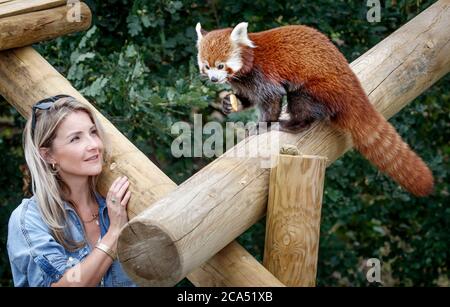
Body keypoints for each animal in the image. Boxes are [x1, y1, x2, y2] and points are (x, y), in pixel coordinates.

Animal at [195, 21, 434, 196]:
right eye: (207, 66)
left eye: (221, 65)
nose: (214, 79)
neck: (249, 62)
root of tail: (351, 86)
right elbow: (246, 98)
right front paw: (229, 103)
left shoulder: (264, 76)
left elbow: (271, 99)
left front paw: (263, 125)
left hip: (313, 89)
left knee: (301, 106)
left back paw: (289, 125)